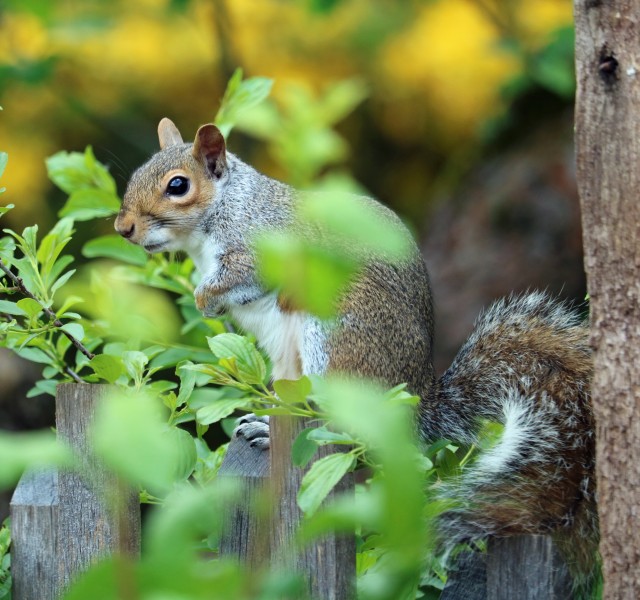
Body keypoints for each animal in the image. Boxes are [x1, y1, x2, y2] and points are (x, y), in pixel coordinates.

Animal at [116, 118, 600, 596]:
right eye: (135, 174)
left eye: (178, 185)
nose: (123, 228)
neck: (225, 208)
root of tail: (417, 401)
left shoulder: (262, 247)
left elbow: (241, 276)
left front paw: (205, 298)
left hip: (333, 339)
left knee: (346, 430)